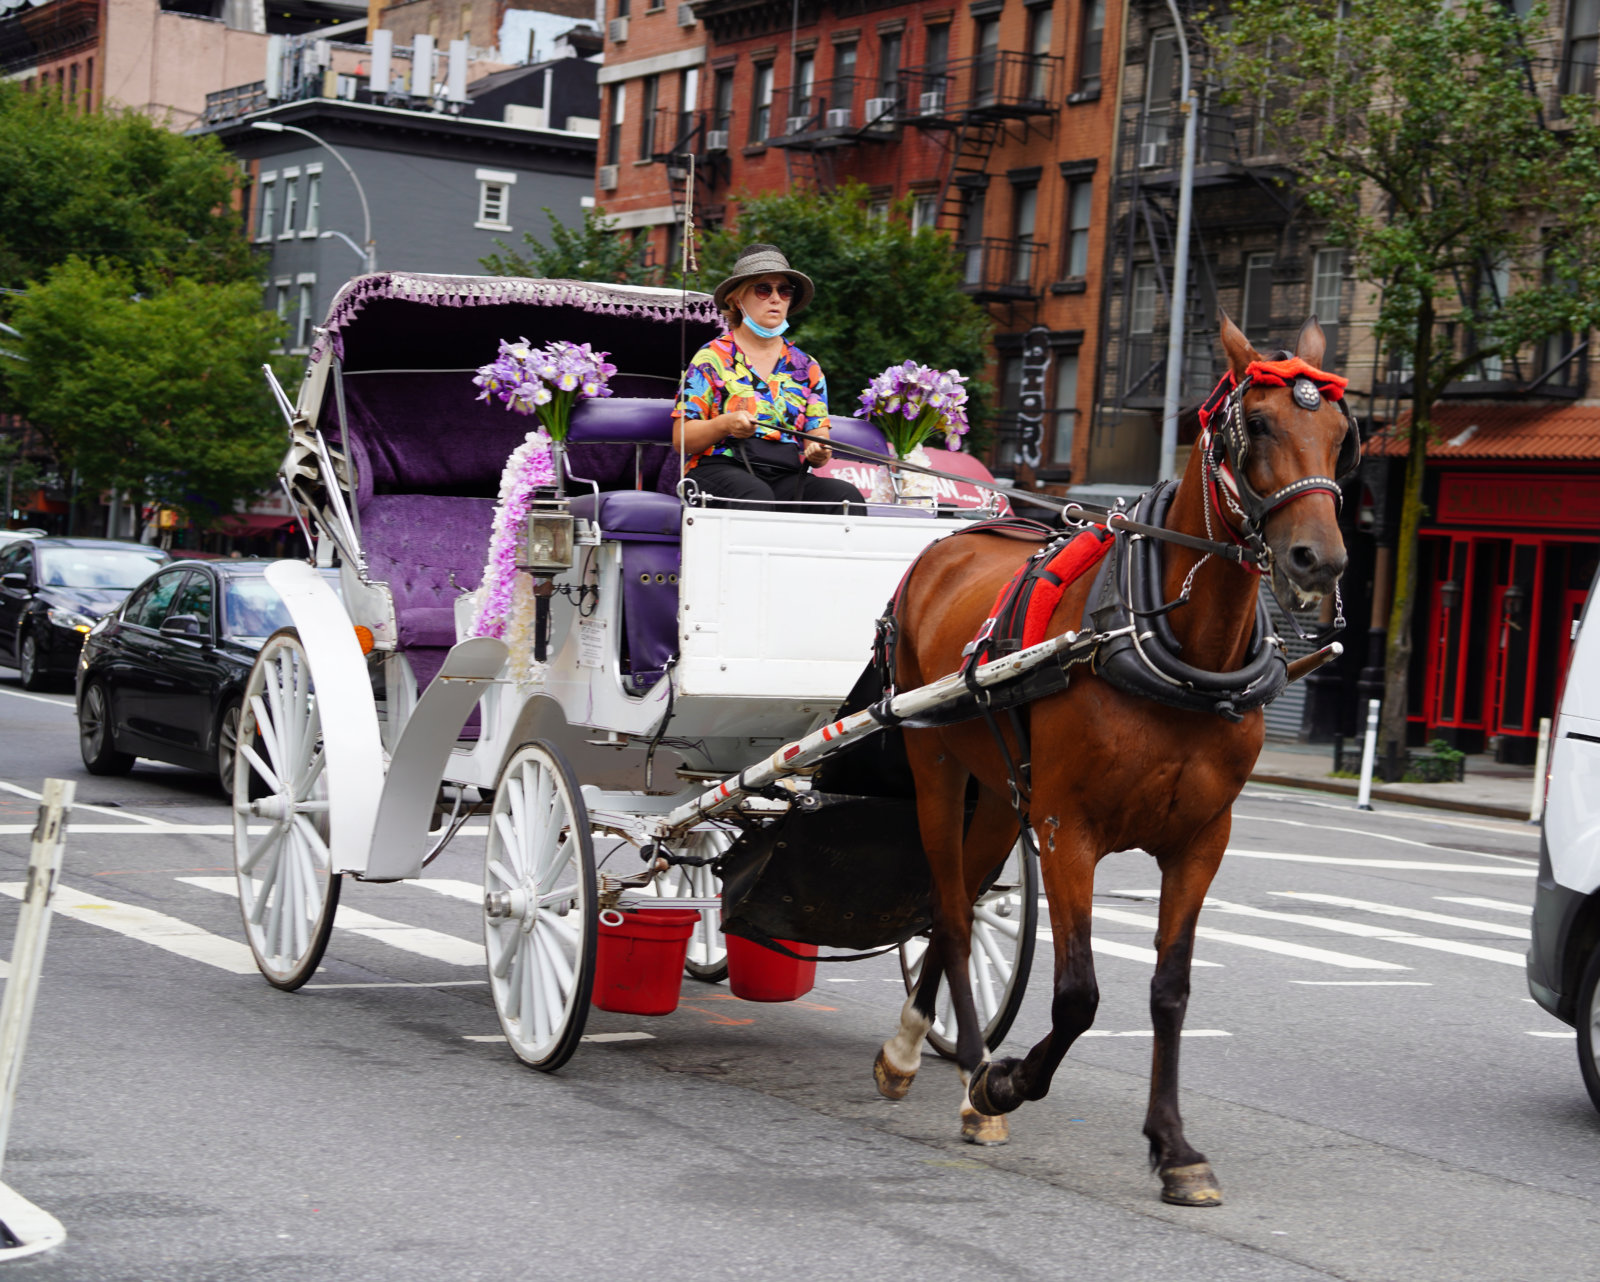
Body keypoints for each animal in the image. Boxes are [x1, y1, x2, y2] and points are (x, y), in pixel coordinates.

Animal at [872, 313, 1353, 1207]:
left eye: (1344, 433)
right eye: (1258, 423)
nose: (1320, 561)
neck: (1177, 646)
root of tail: (948, 542)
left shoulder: (1201, 840)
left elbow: (1170, 991)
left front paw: (1175, 1147)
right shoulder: (1070, 829)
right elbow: (1078, 997)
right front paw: (1007, 1083)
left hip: (1000, 793)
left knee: (958, 903)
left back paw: (920, 1046)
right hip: (936, 765)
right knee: (950, 915)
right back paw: (968, 1074)